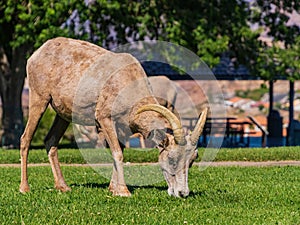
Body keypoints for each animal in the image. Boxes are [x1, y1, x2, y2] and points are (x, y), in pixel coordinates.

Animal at [19, 37, 207, 198]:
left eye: (191, 160)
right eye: (172, 159)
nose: (182, 193)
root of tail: (37, 54)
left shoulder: (122, 128)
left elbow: (120, 152)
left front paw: (113, 189)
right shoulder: (105, 119)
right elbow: (117, 153)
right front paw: (123, 191)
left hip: (62, 115)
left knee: (50, 141)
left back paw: (63, 187)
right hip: (40, 100)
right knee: (25, 138)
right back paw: (24, 188)